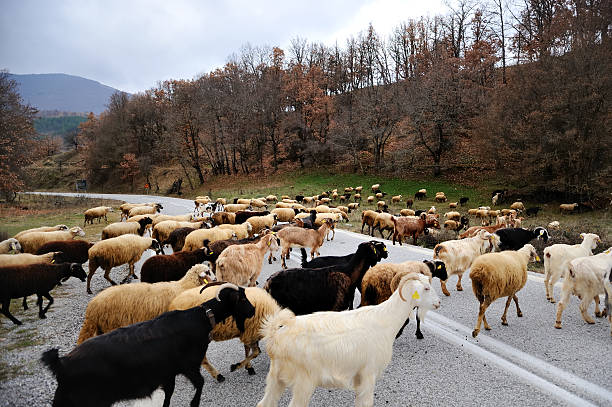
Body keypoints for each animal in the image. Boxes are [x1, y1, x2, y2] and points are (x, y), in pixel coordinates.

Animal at [41, 286, 253, 407]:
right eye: (242, 298)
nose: (252, 310)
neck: (200, 317)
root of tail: (62, 364)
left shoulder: (168, 374)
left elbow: (169, 395)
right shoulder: (188, 366)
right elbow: (199, 384)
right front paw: (194, 403)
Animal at [77, 264, 214, 344]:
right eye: (208, 272)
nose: (216, 279)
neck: (183, 286)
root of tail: (92, 307)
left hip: (102, 327)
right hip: (111, 324)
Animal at [256, 272, 440, 407]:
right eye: (426, 288)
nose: (438, 303)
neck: (385, 319)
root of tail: (275, 337)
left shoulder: (359, 377)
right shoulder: (369, 373)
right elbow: (366, 403)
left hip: (275, 379)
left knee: (264, 404)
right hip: (304, 381)